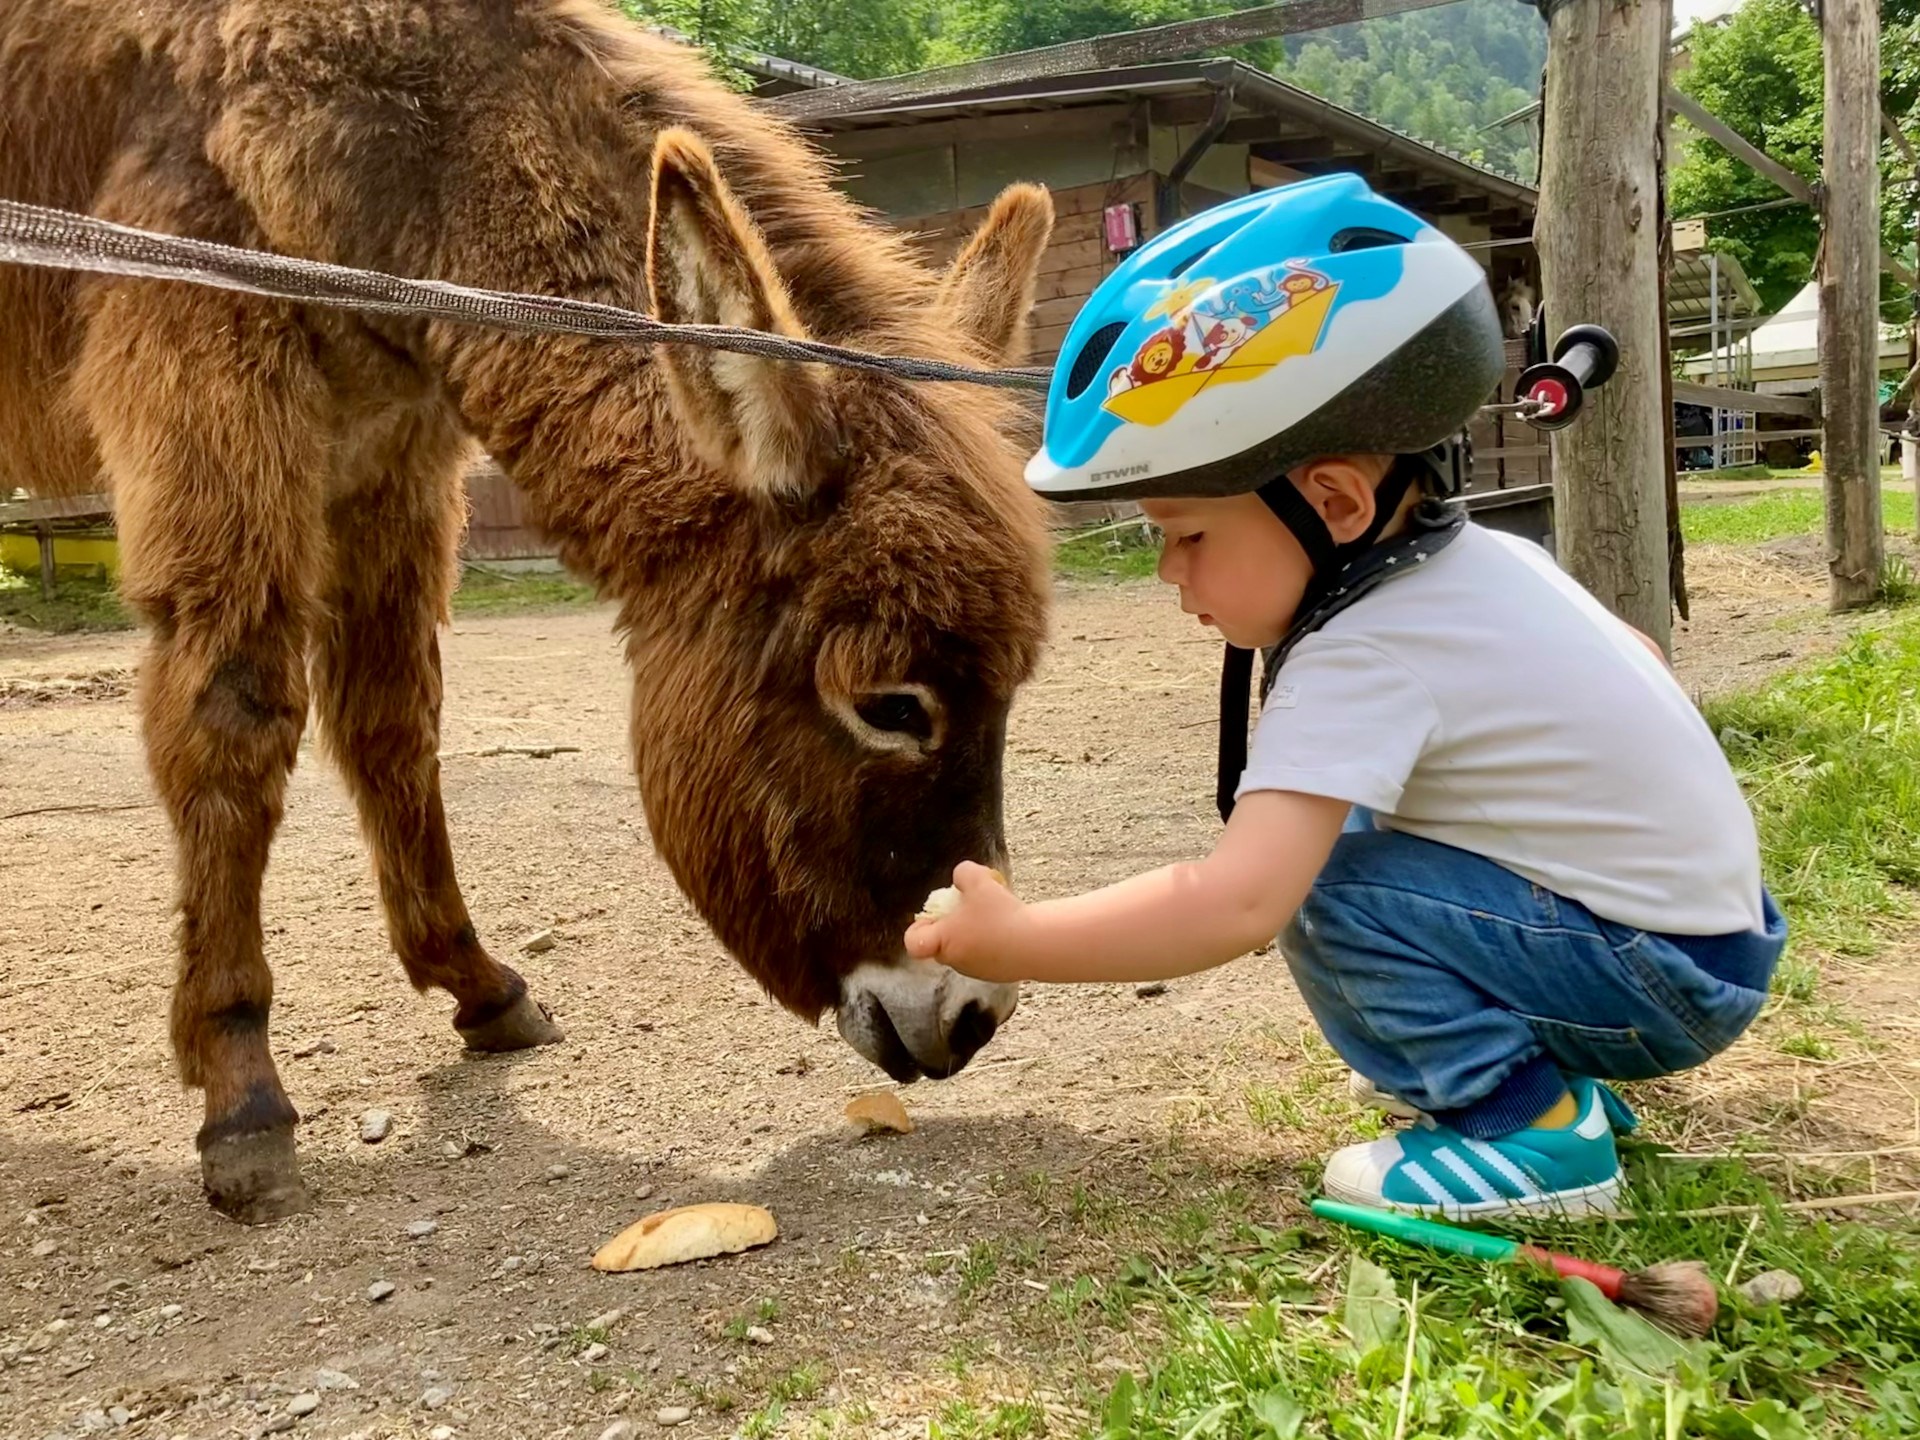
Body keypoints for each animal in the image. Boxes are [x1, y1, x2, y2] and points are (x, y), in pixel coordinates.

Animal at [0, 0, 1055, 1223]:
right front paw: (240, 1086)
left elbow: (392, 727)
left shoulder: (388, 452)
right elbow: (234, 719)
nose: (976, 1018)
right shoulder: (213, 373)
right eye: (889, 705)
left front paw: (473, 983)